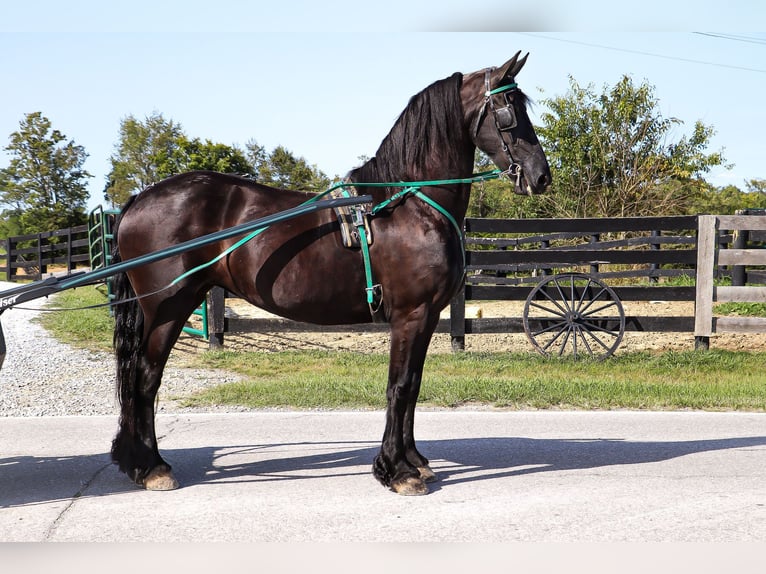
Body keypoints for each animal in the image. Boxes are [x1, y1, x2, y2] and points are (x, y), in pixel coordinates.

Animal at [111, 51, 552, 498]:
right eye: (508, 111)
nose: (541, 176)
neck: (409, 205)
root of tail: (139, 199)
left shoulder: (427, 317)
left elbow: (412, 386)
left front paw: (413, 462)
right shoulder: (410, 315)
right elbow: (399, 386)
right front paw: (397, 471)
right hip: (168, 309)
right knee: (145, 377)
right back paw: (152, 467)